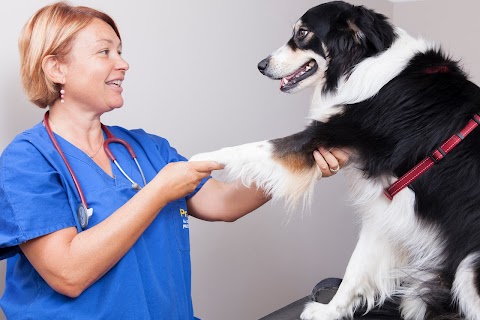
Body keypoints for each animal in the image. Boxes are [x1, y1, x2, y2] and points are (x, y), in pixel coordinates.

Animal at [191, 1, 480, 318]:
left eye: (302, 33)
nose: (261, 66)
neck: (362, 63)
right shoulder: (384, 207)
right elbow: (356, 267)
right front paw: (329, 311)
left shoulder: (325, 133)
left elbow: (253, 148)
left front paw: (199, 159)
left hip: (469, 268)